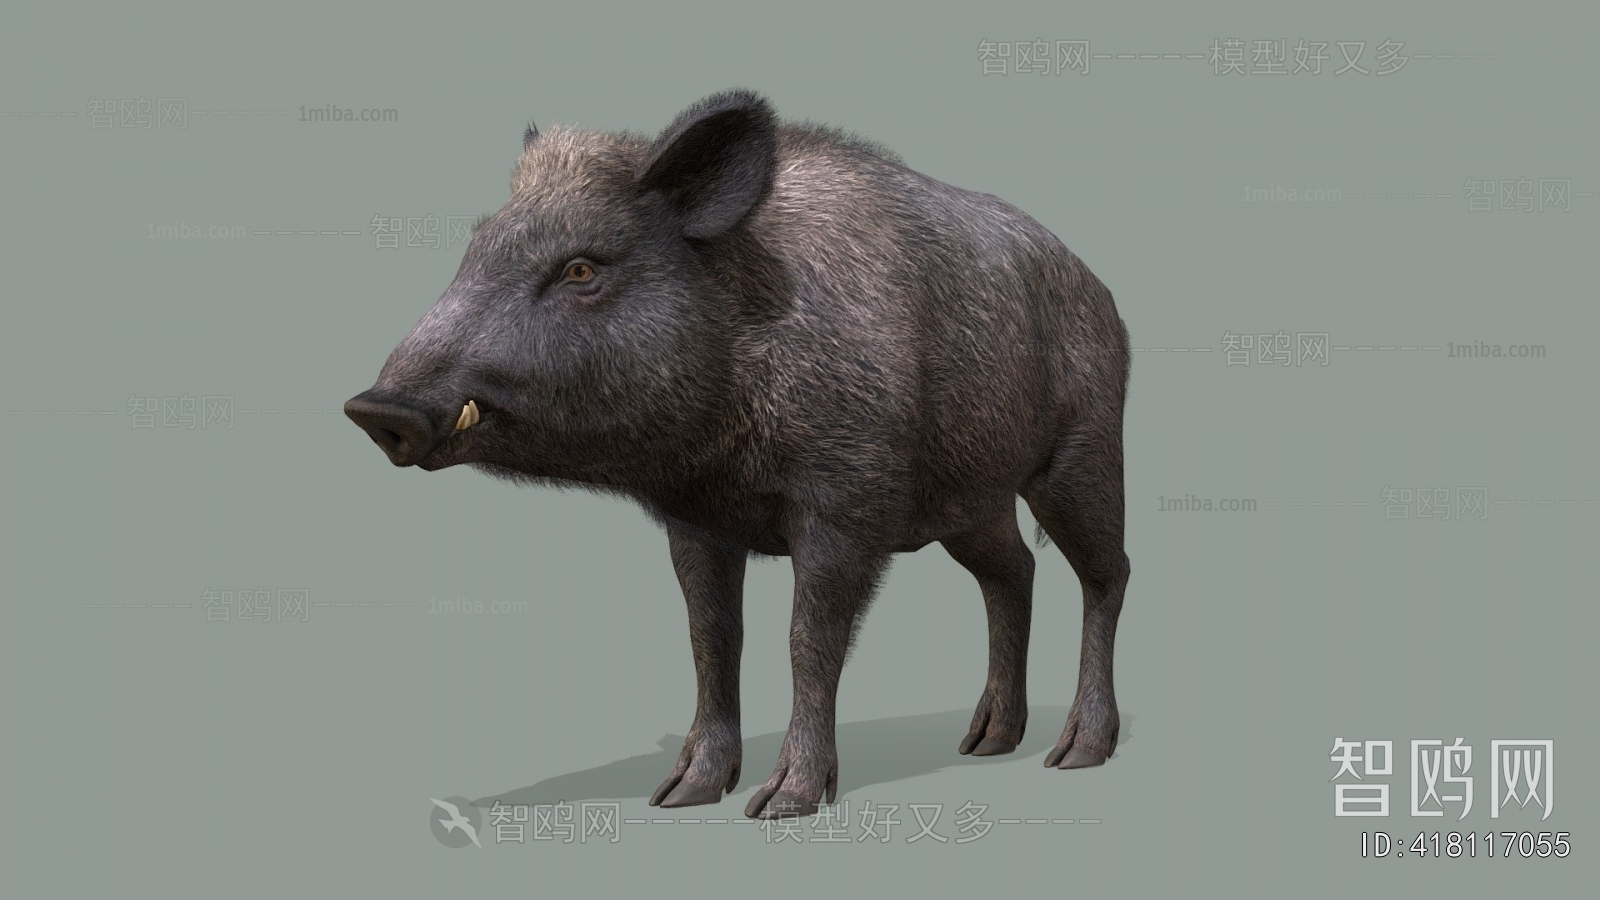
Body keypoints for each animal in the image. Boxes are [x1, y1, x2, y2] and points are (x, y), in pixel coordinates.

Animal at [344, 89, 1131, 819]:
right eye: (475, 251)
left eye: (580, 270)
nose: (375, 408)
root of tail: (1104, 295)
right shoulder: (694, 521)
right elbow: (712, 638)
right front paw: (679, 795)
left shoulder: (845, 502)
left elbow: (807, 639)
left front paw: (780, 803)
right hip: (970, 501)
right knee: (1015, 571)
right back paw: (986, 742)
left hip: (1085, 454)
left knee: (1107, 573)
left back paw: (1077, 752)